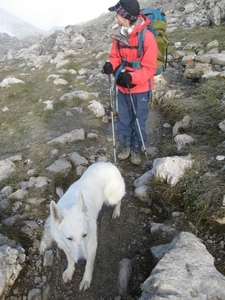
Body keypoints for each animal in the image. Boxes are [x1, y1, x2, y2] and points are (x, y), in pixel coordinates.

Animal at [39, 162, 125, 290]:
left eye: (85, 235)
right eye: (69, 238)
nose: (81, 261)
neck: (70, 205)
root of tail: (108, 163)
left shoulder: (92, 246)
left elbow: (89, 265)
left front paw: (86, 280)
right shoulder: (65, 245)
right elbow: (70, 260)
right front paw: (70, 271)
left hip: (111, 199)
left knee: (119, 200)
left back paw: (116, 211)